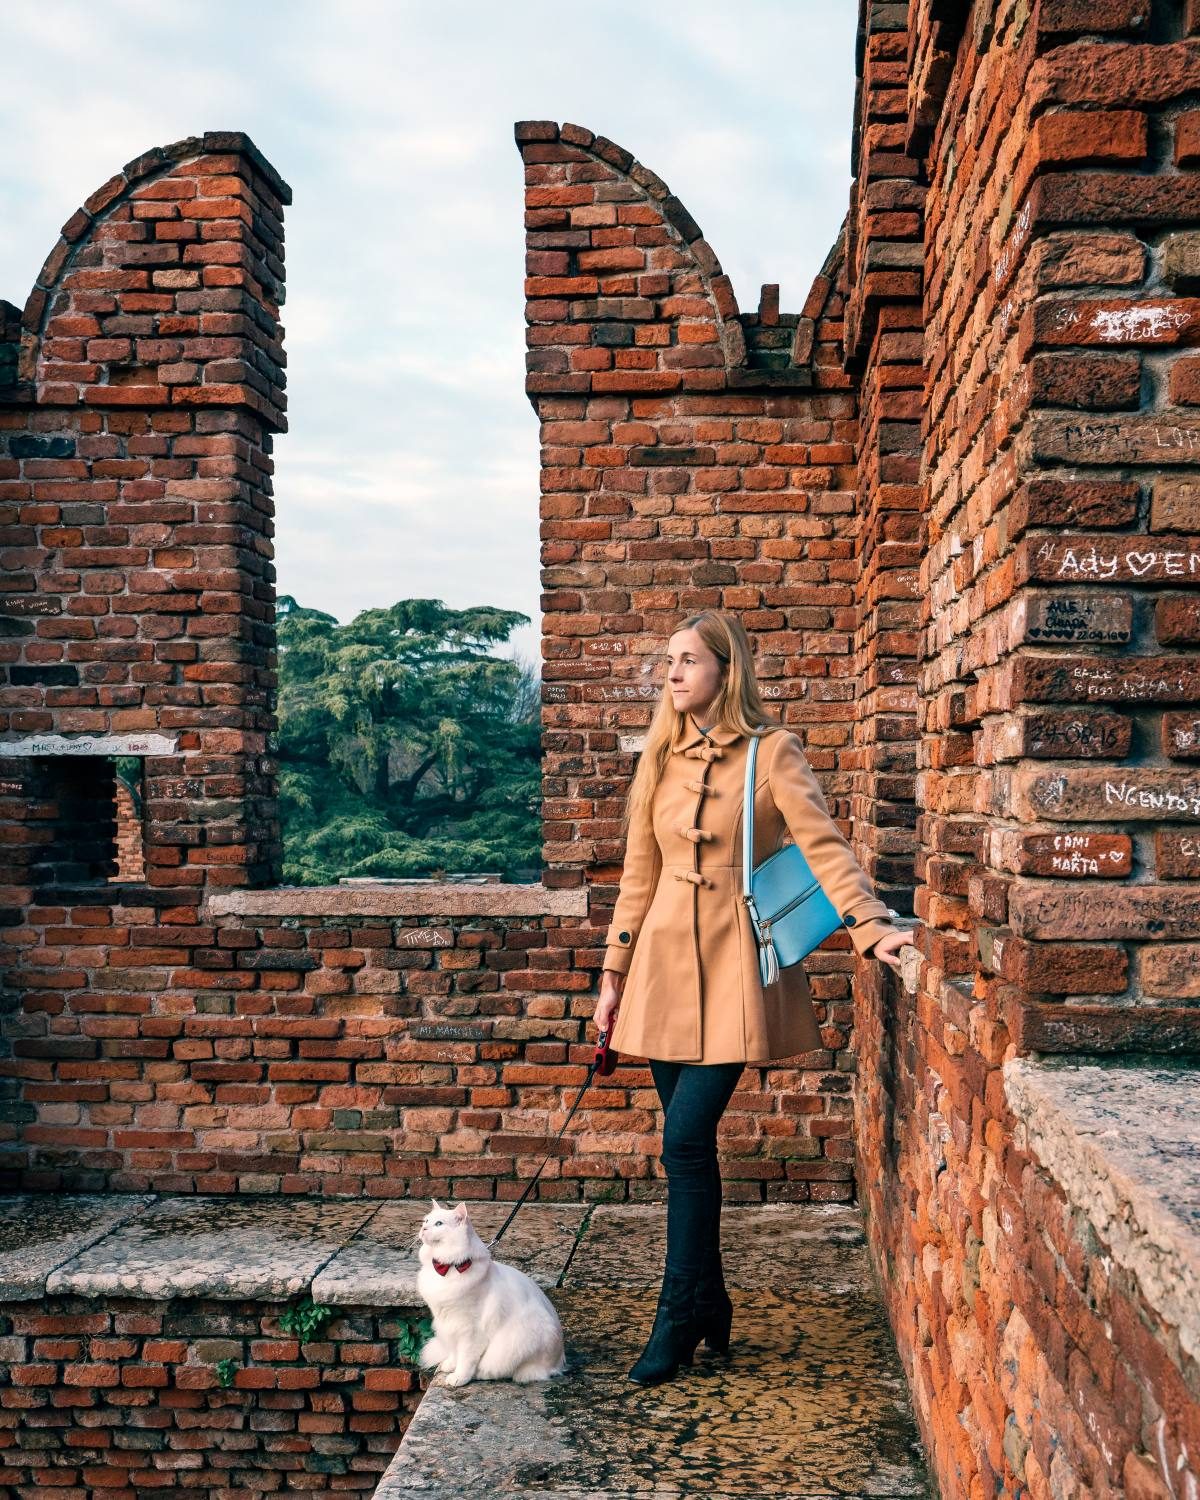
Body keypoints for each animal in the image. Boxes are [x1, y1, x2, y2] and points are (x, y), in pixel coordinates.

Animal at [417, 1200, 567, 1386]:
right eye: (426, 1221)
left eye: (439, 1224)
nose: (423, 1229)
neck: (449, 1267)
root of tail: (559, 1363)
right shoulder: (447, 1325)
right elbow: (454, 1352)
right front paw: (450, 1365)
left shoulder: (469, 1330)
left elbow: (465, 1358)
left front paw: (459, 1377)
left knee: (514, 1372)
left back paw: (479, 1374)